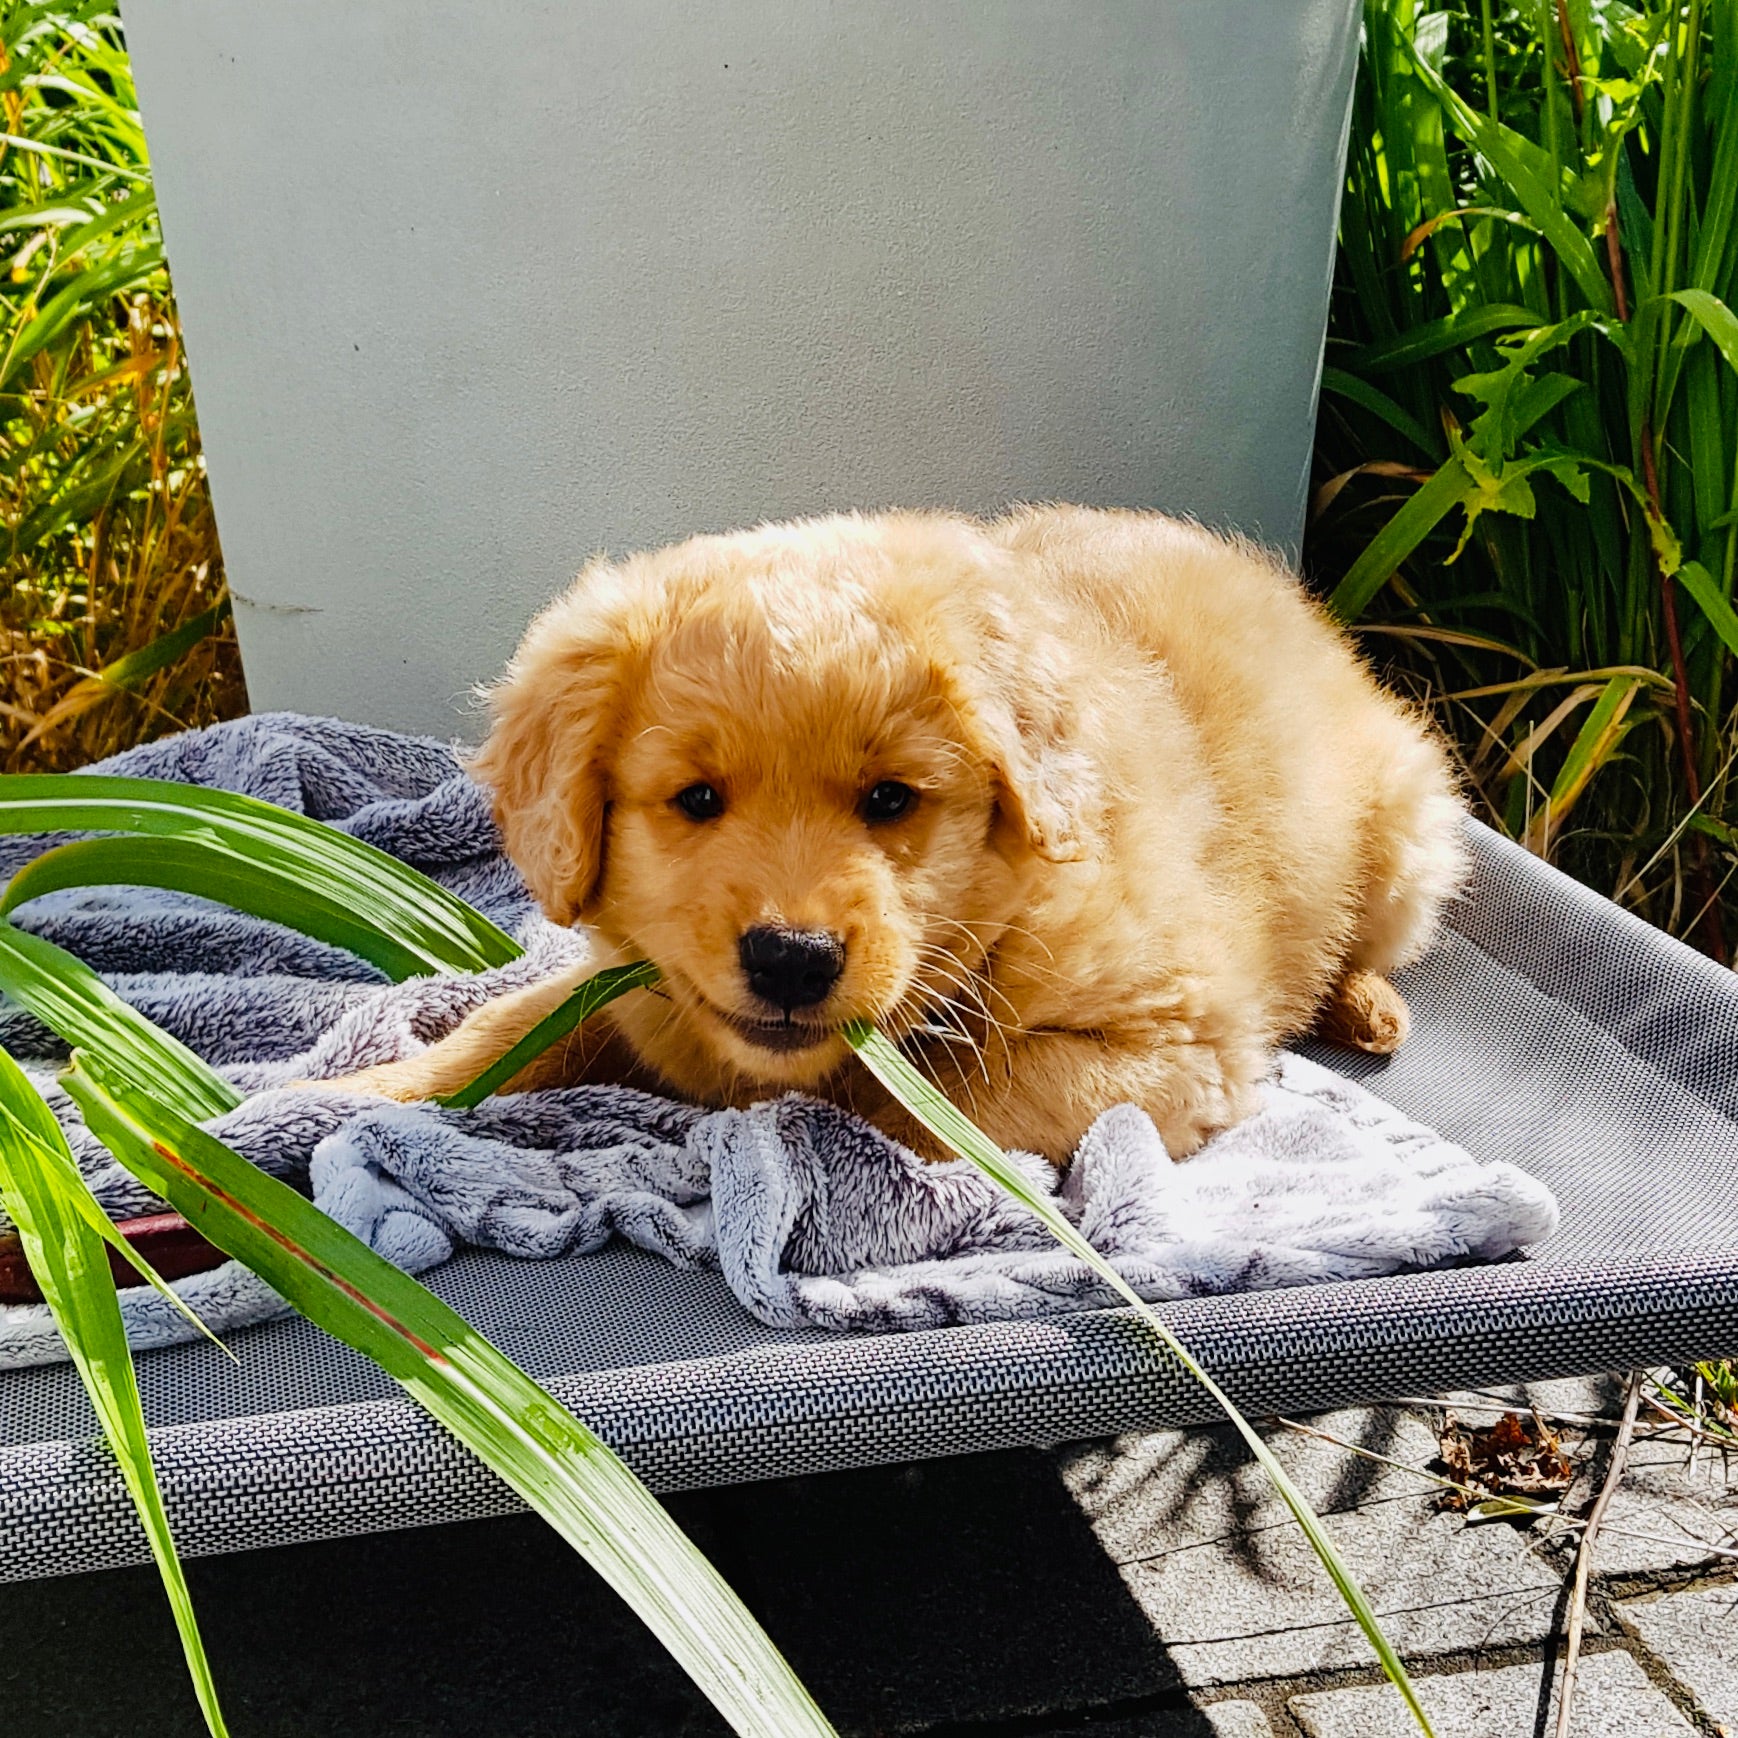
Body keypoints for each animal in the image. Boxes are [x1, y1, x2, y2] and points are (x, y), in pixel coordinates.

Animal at [328, 504, 1466, 1160]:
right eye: (696, 799)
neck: (990, 917)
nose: (792, 958)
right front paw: (338, 1103)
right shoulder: (637, 982)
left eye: (890, 800)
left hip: (1413, 827)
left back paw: (1362, 1002)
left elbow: (932, 1103)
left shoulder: (1183, 1042)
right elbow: (506, 1028)